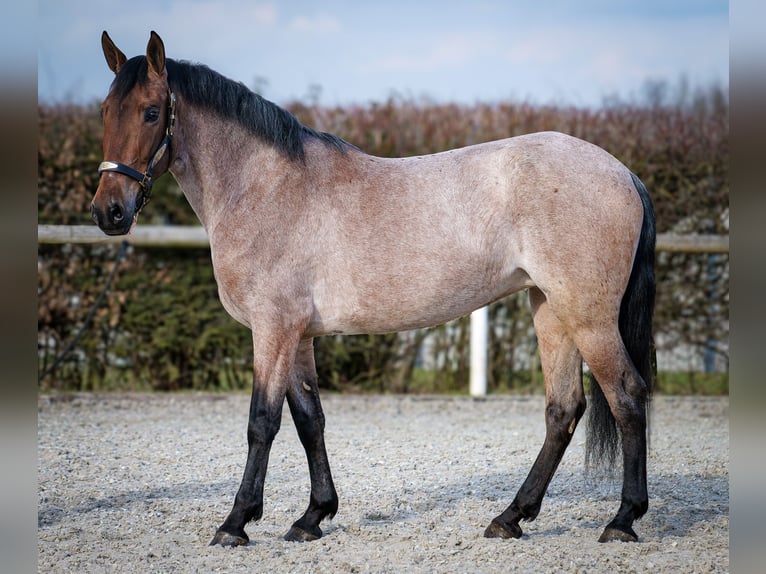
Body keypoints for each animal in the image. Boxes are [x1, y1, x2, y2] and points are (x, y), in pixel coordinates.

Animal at [88, 31, 656, 548]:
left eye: (151, 112)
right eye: (105, 110)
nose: (109, 212)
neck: (264, 187)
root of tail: (622, 171)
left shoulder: (272, 329)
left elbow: (261, 422)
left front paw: (236, 524)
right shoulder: (298, 335)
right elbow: (309, 419)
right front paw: (312, 517)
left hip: (588, 317)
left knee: (627, 397)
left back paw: (622, 519)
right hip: (550, 311)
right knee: (563, 410)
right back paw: (510, 517)